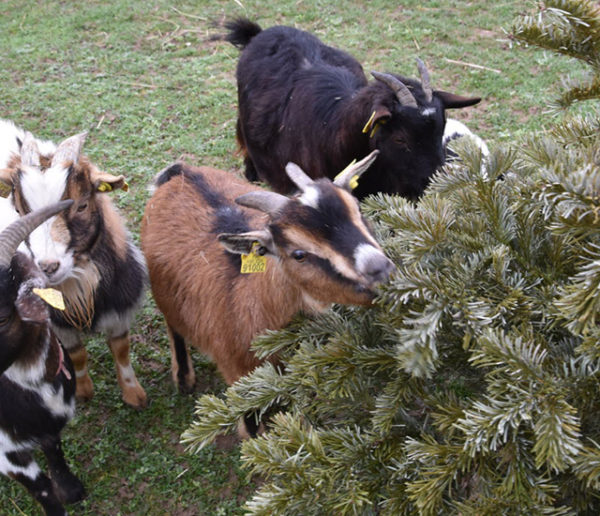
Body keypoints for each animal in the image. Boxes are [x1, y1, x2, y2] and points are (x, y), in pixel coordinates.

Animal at [0, 120, 148, 408]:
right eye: (20, 210)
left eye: (82, 205)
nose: (48, 266)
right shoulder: (57, 323)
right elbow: (76, 353)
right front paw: (83, 390)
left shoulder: (120, 308)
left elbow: (121, 349)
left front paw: (134, 394)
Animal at [141, 152, 394, 416]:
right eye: (298, 254)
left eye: (359, 212)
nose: (381, 270)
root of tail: (182, 172)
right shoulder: (240, 376)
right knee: (173, 323)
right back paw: (183, 378)